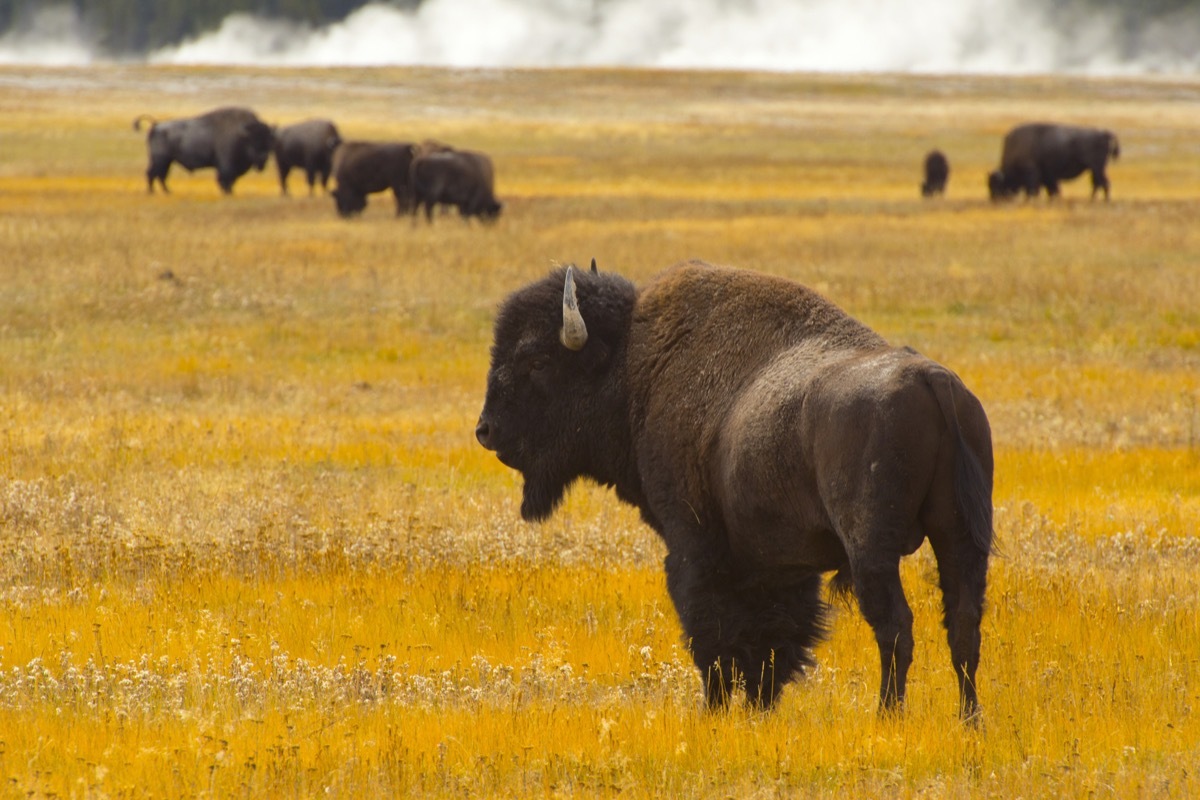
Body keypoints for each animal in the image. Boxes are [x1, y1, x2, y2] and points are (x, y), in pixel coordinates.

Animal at [133, 106, 274, 194]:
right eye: (253, 141)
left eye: (268, 141)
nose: (262, 158)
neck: (242, 135)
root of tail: (156, 125)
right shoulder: (226, 165)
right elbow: (225, 179)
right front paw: (228, 193)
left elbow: (230, 181)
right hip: (160, 160)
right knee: (153, 174)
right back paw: (152, 192)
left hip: (167, 161)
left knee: (160, 175)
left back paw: (167, 192)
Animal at [477, 260, 994, 719]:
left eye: (537, 360)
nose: (486, 431)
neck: (631, 367)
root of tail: (934, 381)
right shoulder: (777, 565)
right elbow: (772, 640)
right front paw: (760, 705)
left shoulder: (694, 547)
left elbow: (712, 635)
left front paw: (716, 709)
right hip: (961, 538)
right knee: (963, 627)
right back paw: (969, 719)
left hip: (872, 549)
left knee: (895, 626)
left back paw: (888, 715)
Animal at [988, 123, 1120, 201]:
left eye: (996, 186)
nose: (994, 200)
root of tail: (1104, 133)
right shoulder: (1048, 176)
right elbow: (1052, 190)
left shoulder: (1033, 173)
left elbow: (1034, 190)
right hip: (1095, 169)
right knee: (1098, 183)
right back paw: (1093, 199)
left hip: (1097, 168)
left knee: (1103, 183)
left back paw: (1102, 200)